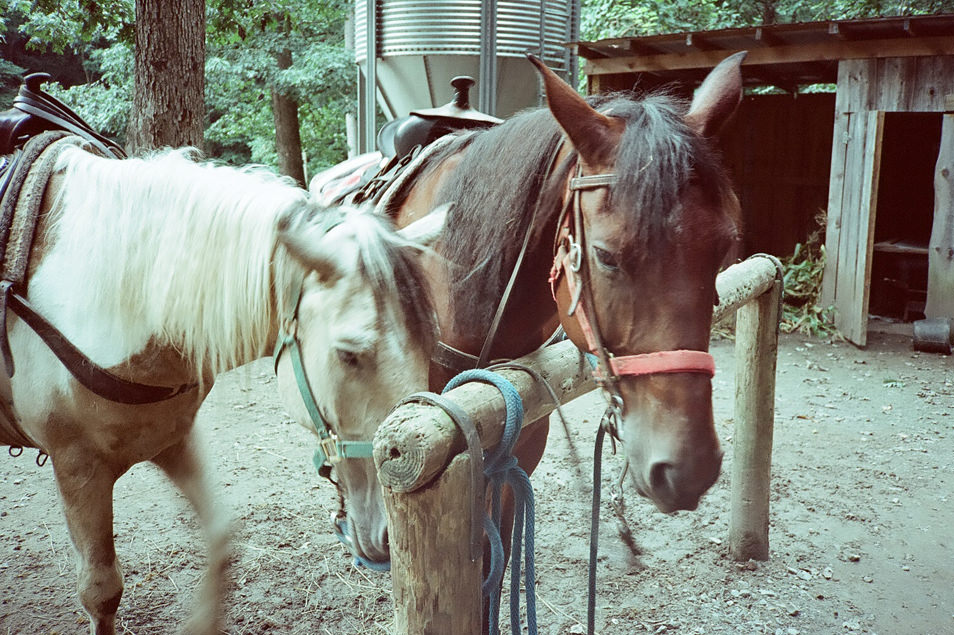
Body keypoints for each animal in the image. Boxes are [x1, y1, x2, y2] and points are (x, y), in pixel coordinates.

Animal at [0, 142, 438, 632]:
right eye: (349, 354)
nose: (390, 536)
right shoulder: (76, 466)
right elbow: (100, 591)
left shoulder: (172, 439)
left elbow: (221, 542)